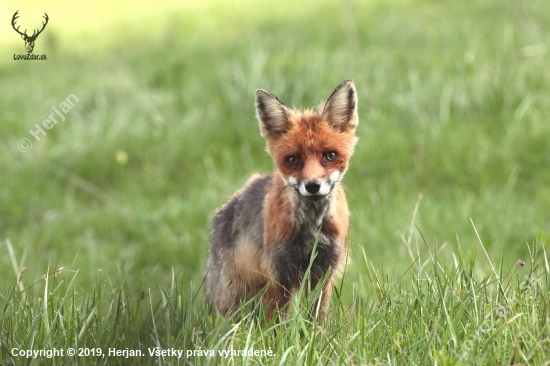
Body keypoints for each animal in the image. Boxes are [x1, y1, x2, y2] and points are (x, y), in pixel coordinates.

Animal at [206, 80, 358, 320]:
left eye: (330, 156)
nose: (312, 186)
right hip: (235, 296)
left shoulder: (323, 273)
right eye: (293, 160)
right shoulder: (278, 273)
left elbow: (316, 320)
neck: (312, 229)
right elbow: (275, 324)